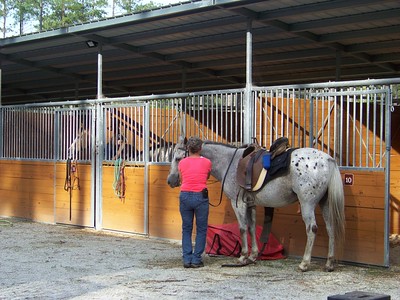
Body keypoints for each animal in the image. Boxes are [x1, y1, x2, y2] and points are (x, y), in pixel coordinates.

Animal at [167, 137, 346, 274]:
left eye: (178, 159)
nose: (170, 180)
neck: (229, 163)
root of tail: (328, 160)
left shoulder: (238, 203)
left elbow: (242, 228)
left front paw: (242, 257)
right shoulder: (251, 204)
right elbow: (252, 227)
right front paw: (253, 256)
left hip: (307, 204)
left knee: (312, 229)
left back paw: (304, 263)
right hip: (325, 203)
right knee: (330, 228)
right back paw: (329, 264)